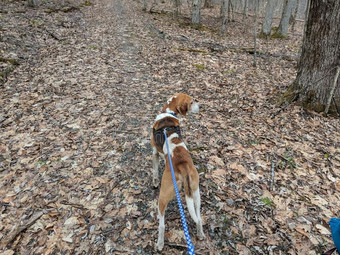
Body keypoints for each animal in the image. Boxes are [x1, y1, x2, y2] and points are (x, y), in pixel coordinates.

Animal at [151, 93, 205, 251]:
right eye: (192, 102)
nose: (200, 106)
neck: (168, 112)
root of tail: (183, 166)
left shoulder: (154, 153)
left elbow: (154, 172)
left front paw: (154, 182)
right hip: (196, 194)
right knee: (199, 218)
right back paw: (200, 234)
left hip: (163, 196)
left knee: (162, 225)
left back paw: (160, 244)